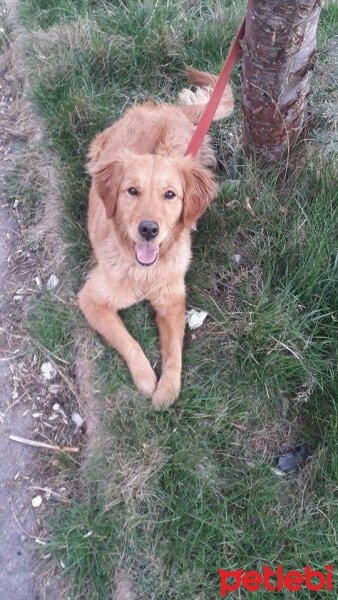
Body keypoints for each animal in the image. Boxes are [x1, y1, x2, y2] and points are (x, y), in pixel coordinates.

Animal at [78, 69, 234, 408]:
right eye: (132, 191)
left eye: (170, 195)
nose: (149, 229)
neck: (143, 273)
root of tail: (168, 110)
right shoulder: (91, 300)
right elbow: (127, 339)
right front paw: (147, 378)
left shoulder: (173, 303)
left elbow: (174, 349)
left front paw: (168, 388)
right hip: (98, 148)